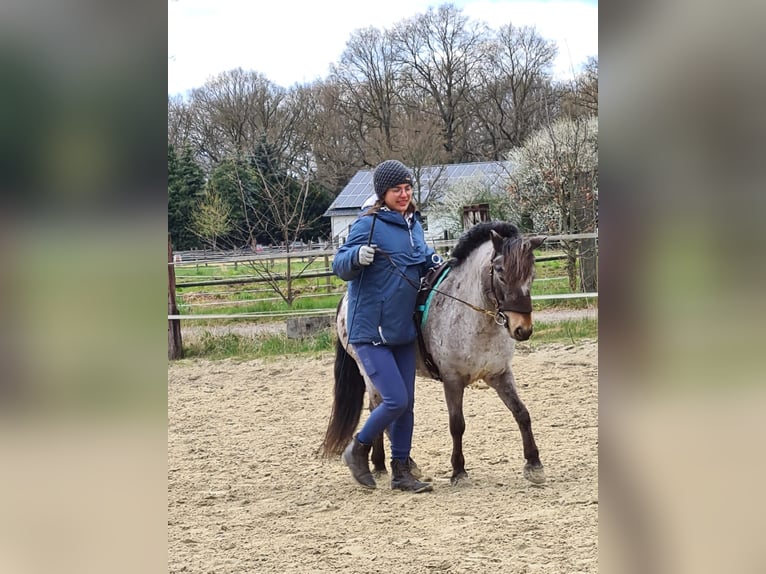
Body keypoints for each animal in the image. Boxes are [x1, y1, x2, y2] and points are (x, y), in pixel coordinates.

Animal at [320, 223, 548, 488]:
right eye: (500, 273)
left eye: (531, 275)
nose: (522, 329)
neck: (471, 317)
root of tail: (346, 301)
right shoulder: (452, 380)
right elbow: (457, 424)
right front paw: (458, 471)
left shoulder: (500, 374)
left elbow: (522, 413)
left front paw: (534, 465)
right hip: (369, 371)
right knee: (379, 408)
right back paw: (381, 464)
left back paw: (393, 464)